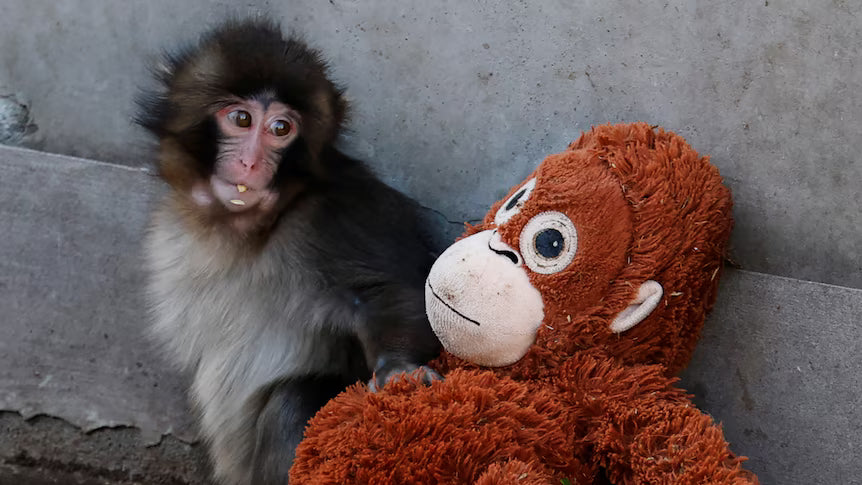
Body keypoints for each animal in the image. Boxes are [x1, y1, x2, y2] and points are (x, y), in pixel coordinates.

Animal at [136, 19, 442, 484]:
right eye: (241, 119)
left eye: (281, 129)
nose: (250, 162)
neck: (247, 228)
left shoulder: (337, 215)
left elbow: (387, 291)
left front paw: (397, 369)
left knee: (294, 401)